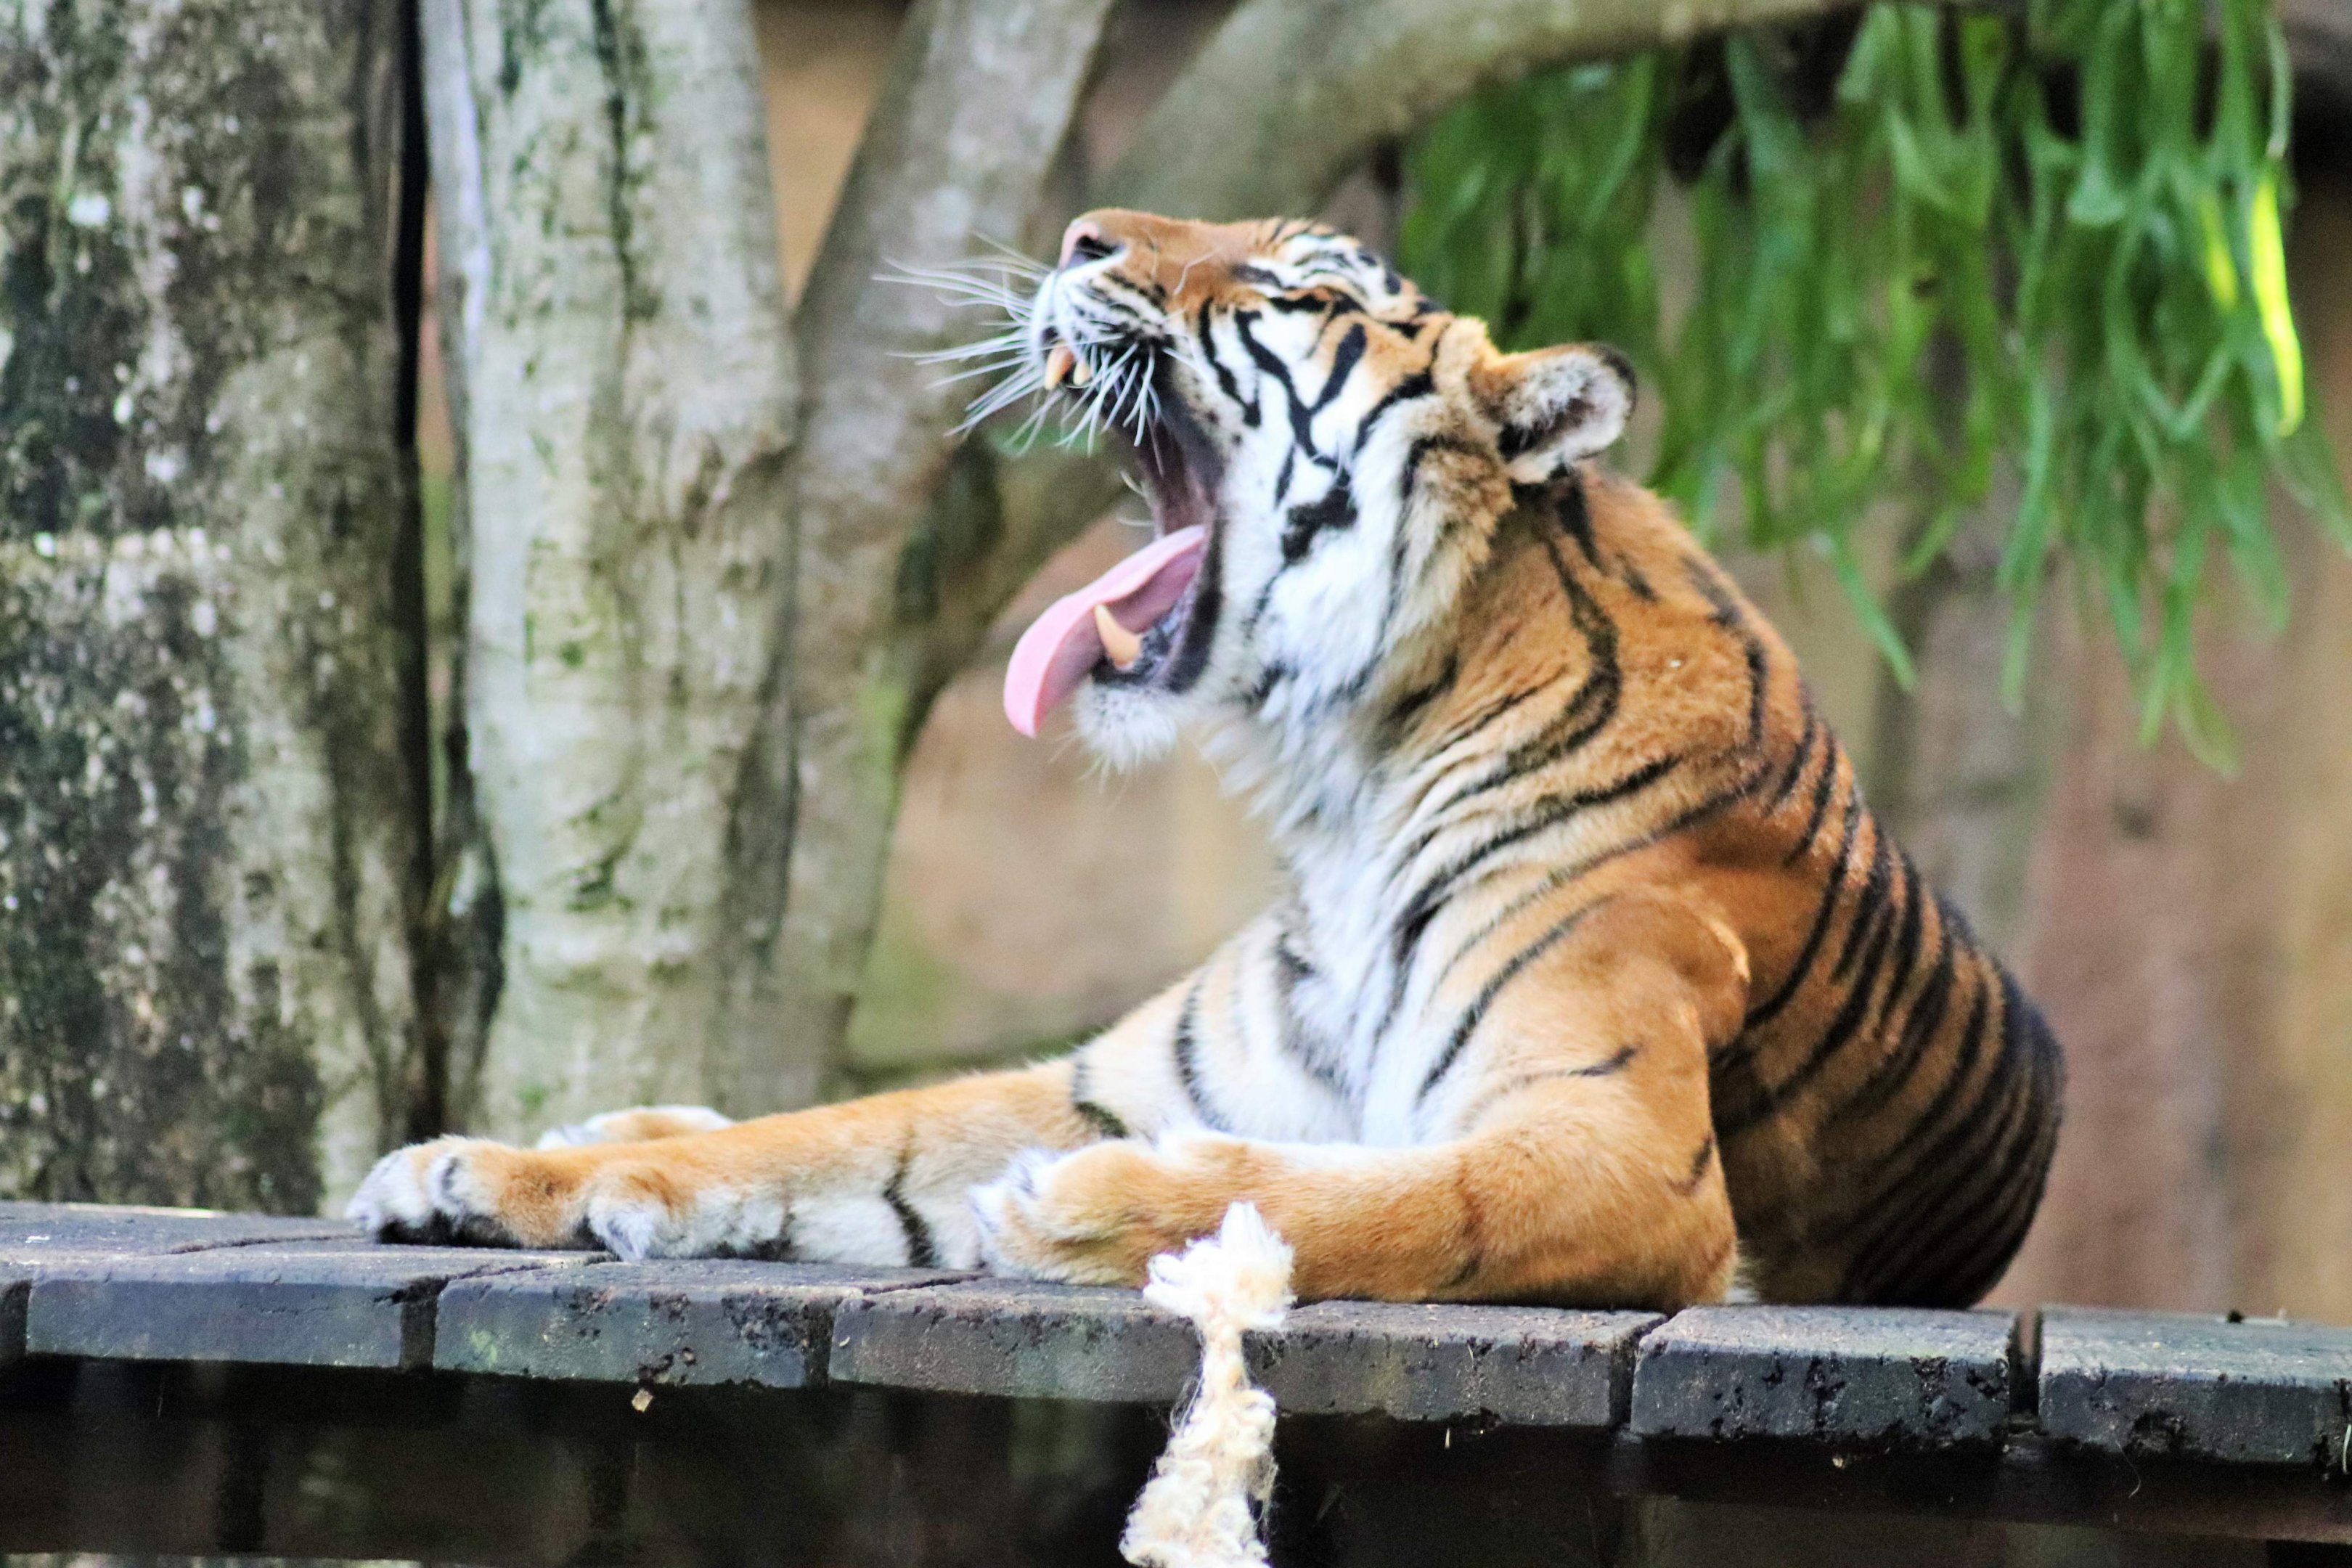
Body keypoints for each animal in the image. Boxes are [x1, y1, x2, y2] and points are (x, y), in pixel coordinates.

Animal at [350, 209, 2062, 1311]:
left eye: (1291, 282)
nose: (1076, 242)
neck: (1353, 769)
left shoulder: (1617, 1149)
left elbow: (1387, 1200)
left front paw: (1092, 1214)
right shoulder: (1115, 1079)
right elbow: (848, 1132)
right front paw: (479, 1172)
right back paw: (602, 1134)